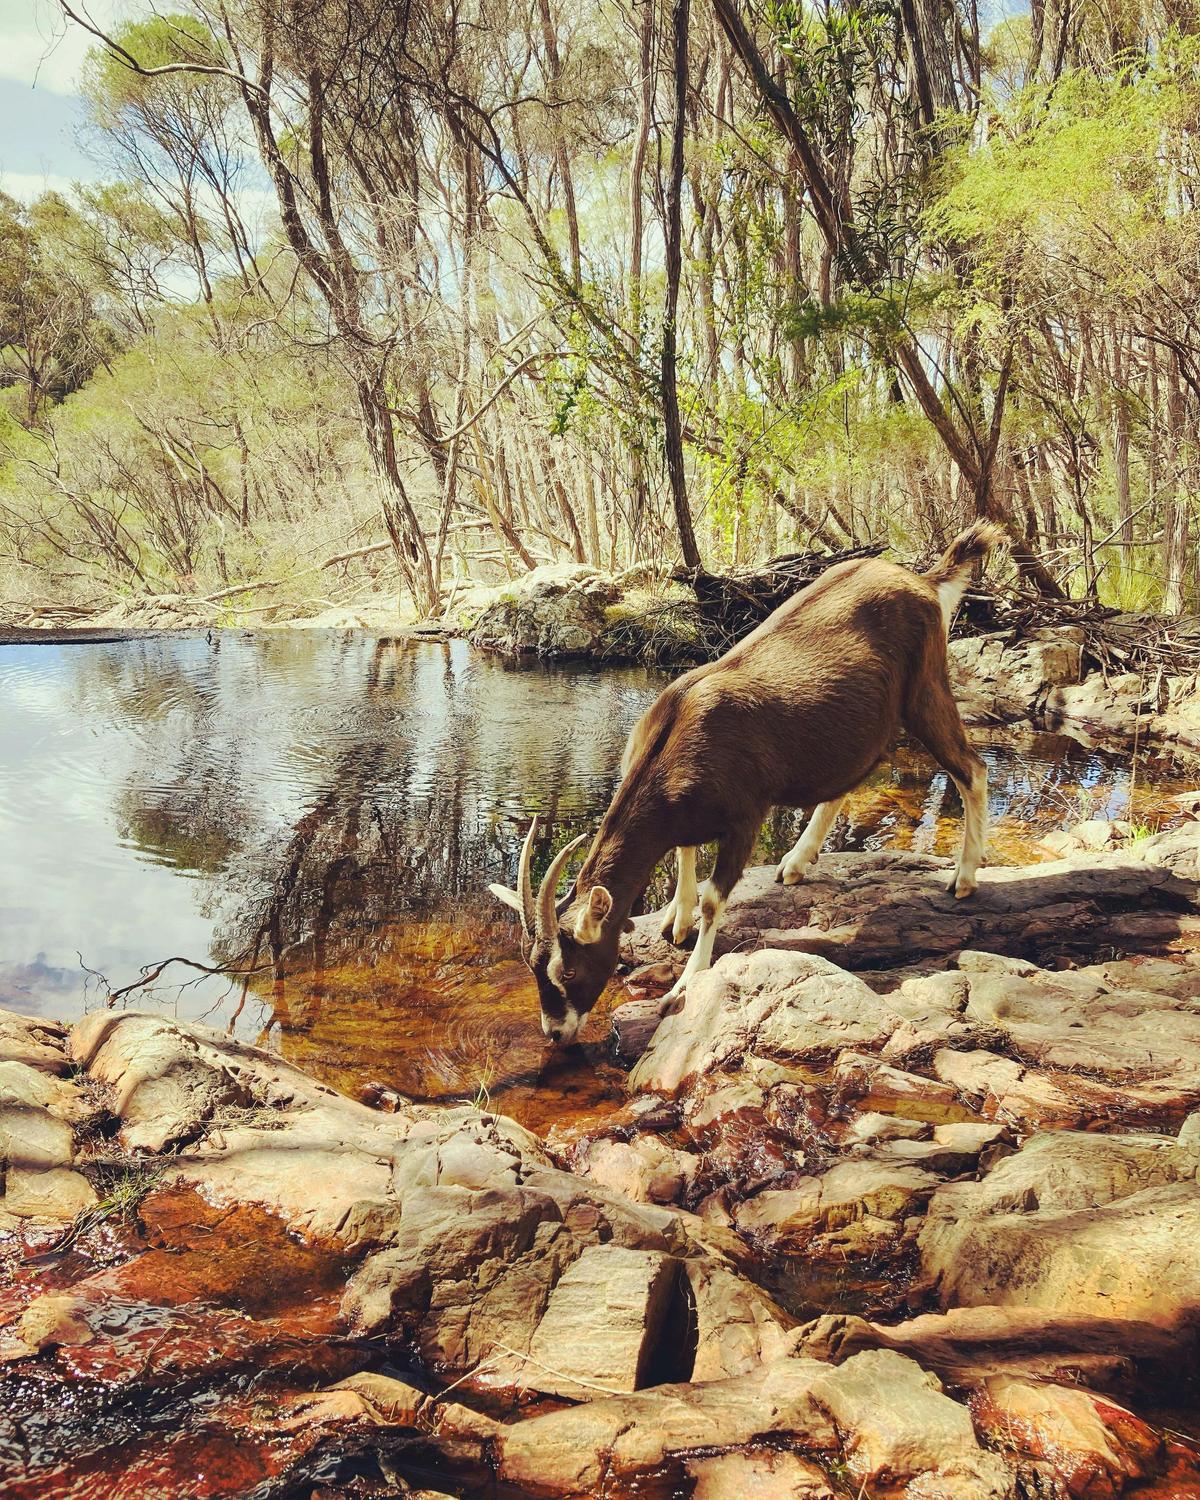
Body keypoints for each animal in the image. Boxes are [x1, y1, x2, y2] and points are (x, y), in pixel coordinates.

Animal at [489, 522, 1005, 1044]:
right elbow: (684, 851)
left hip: (926, 688)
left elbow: (714, 900)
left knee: (972, 768)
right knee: (850, 777)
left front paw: (684, 983)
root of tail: (925, 582)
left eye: (569, 971)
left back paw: (964, 878)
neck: (674, 740)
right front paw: (676, 917)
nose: (554, 1032)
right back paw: (797, 862)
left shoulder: (745, 816)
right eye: (533, 967)